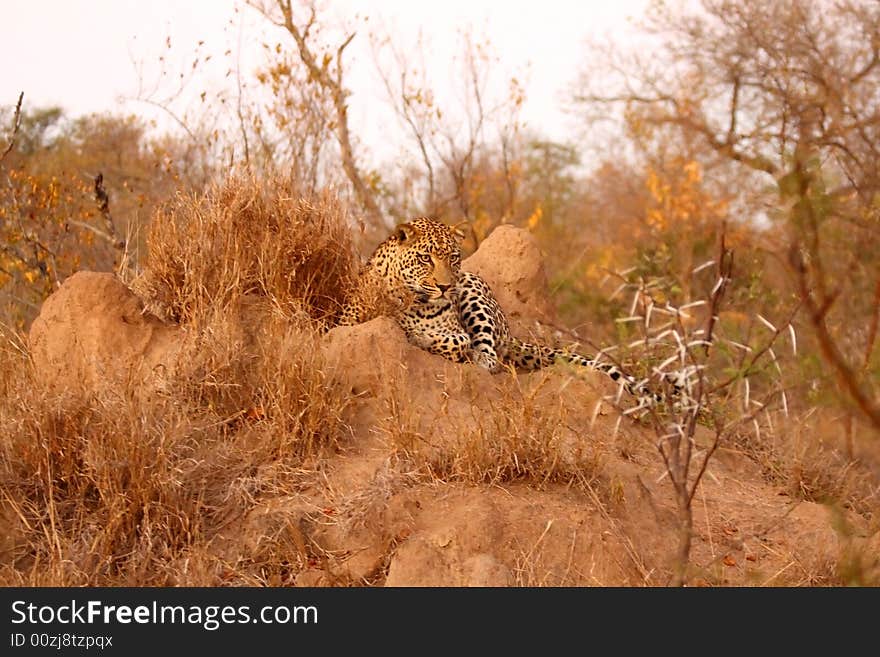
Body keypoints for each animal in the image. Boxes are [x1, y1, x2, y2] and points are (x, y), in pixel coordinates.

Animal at [338, 218, 680, 408]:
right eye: (425, 258)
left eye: (452, 258)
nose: (445, 286)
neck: (417, 300)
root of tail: (509, 332)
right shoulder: (344, 323)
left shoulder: (454, 326)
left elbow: (457, 340)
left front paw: (422, 338)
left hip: (474, 289)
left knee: (490, 358)